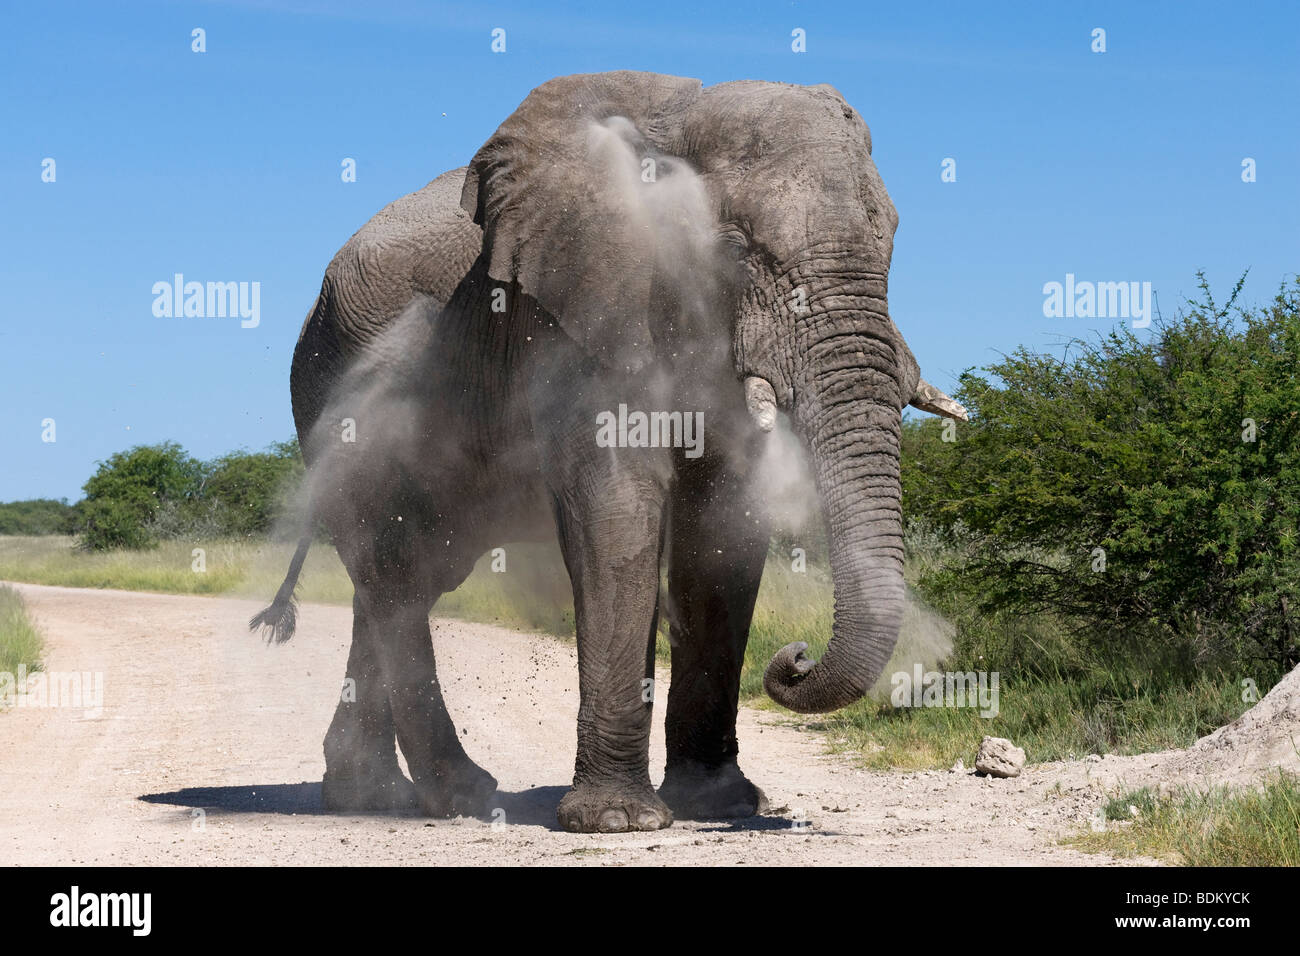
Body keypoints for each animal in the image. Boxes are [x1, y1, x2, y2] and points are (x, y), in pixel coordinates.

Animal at [253, 70, 967, 832]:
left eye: (891, 244)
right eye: (736, 248)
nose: (795, 657)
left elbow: (722, 525)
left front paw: (719, 803)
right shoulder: (577, 317)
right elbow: (618, 511)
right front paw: (619, 822)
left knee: (399, 574)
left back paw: (371, 794)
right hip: (331, 380)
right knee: (395, 570)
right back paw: (458, 795)